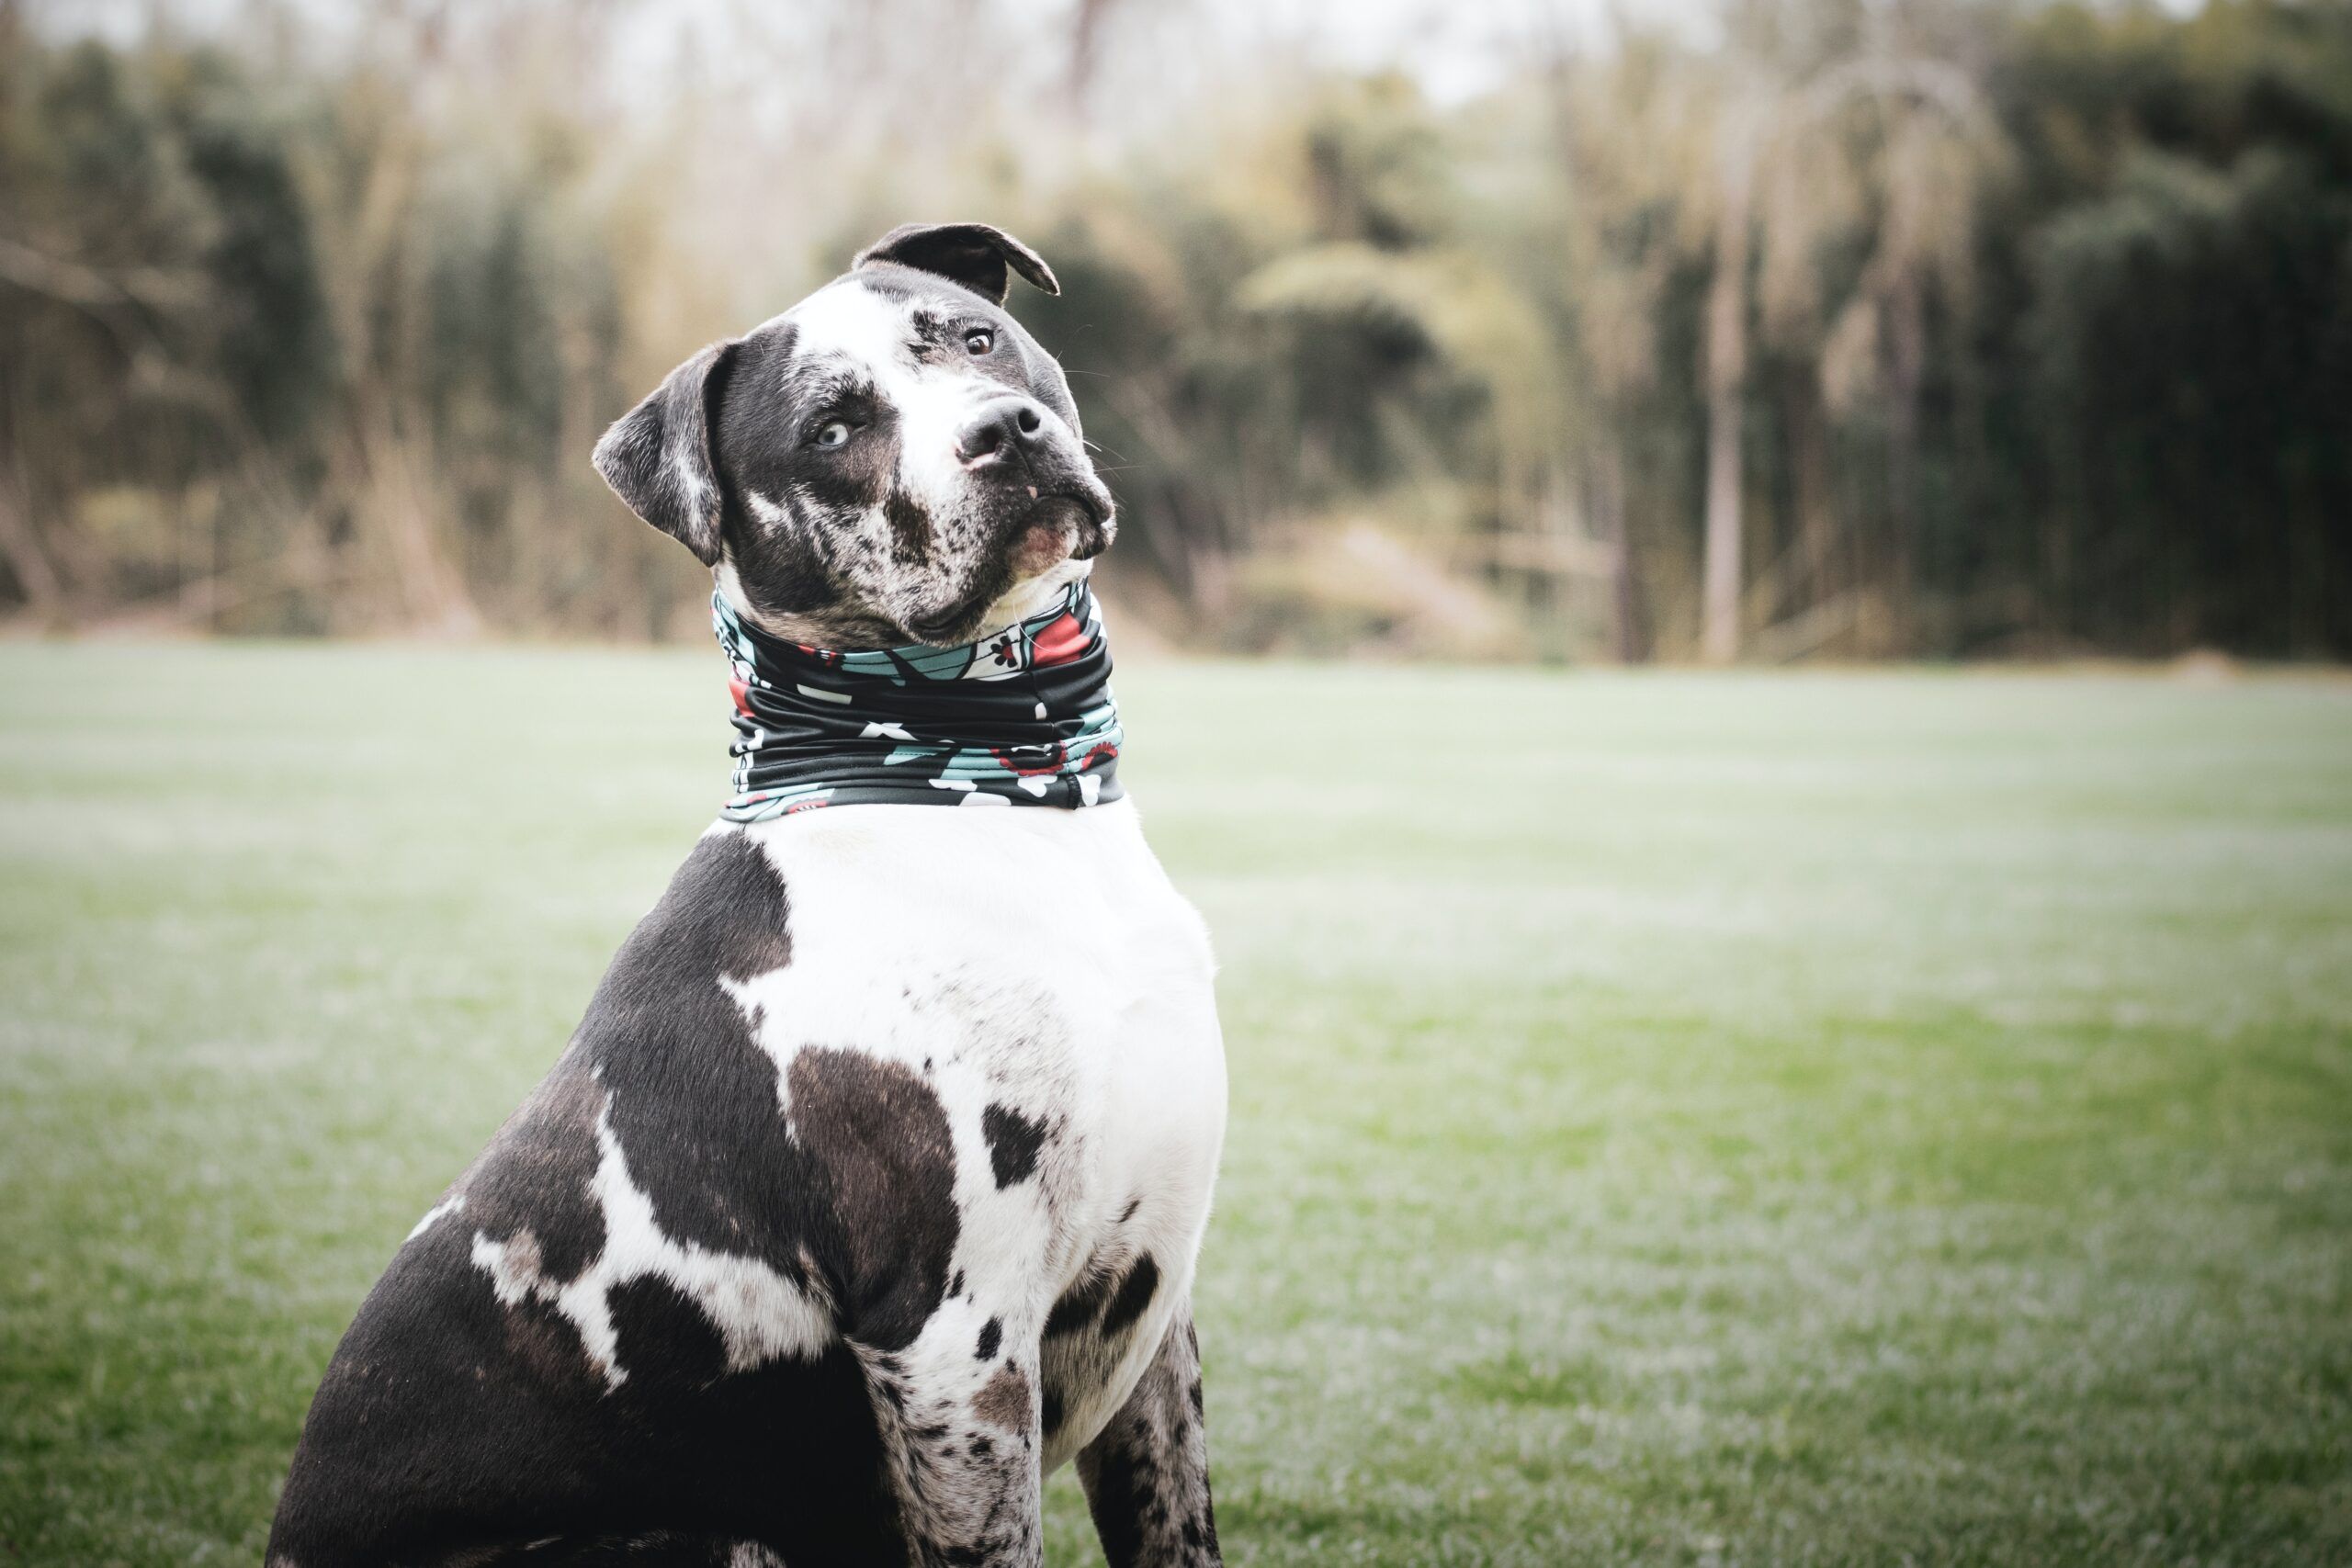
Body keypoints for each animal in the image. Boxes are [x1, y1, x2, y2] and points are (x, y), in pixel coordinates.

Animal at [269, 223, 1232, 1568]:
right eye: (831, 428)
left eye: (975, 338)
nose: (1005, 431)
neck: (979, 787)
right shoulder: (953, 1341)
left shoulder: (1154, 1321)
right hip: (712, 1538)